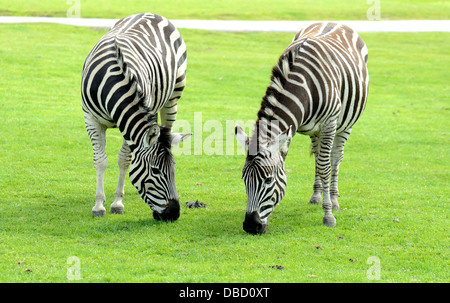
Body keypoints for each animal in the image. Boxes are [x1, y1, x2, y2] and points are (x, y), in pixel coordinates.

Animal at [81, 13, 190, 221]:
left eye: (173, 168)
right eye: (155, 170)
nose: (174, 214)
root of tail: (152, 13)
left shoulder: (130, 127)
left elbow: (124, 160)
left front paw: (117, 202)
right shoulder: (91, 119)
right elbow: (100, 161)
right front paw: (99, 205)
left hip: (173, 98)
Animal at [236, 22, 370, 235]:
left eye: (268, 180)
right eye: (244, 179)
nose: (250, 226)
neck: (302, 87)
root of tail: (335, 22)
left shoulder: (329, 123)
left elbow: (325, 168)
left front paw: (328, 215)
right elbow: (318, 163)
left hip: (345, 124)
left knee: (335, 158)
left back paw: (333, 199)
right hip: (315, 131)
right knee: (318, 156)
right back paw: (316, 196)